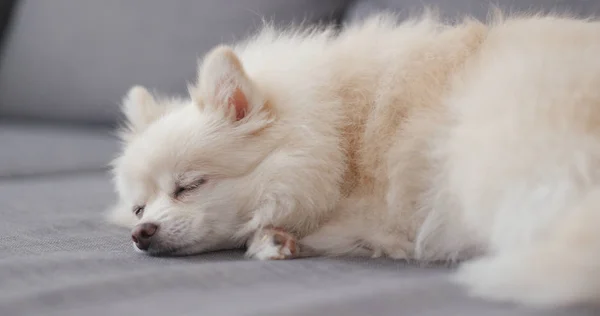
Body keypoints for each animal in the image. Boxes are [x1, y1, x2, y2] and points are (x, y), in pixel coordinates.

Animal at [108, 11, 600, 308]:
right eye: (139, 208)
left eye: (189, 186)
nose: (141, 233)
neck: (339, 133)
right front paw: (278, 239)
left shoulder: (379, 208)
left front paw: (273, 238)